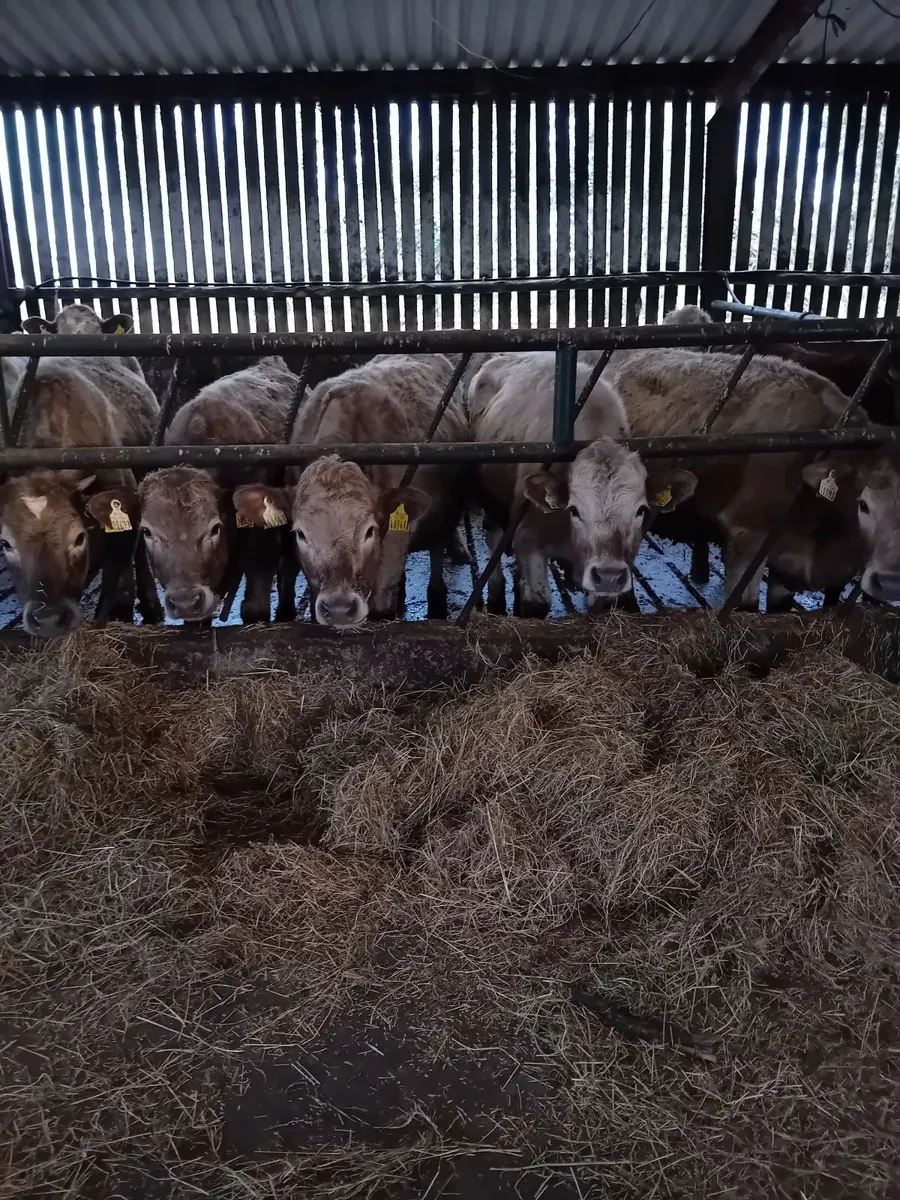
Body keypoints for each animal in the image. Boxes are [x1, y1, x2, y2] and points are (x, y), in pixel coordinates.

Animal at [232, 354, 469, 628]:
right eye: (301, 534)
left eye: (369, 531)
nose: (339, 608)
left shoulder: (395, 538)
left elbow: (380, 602)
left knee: (437, 552)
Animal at [470, 352, 697, 617]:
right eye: (574, 509)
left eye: (640, 510)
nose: (609, 575)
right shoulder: (528, 538)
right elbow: (537, 604)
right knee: (493, 534)